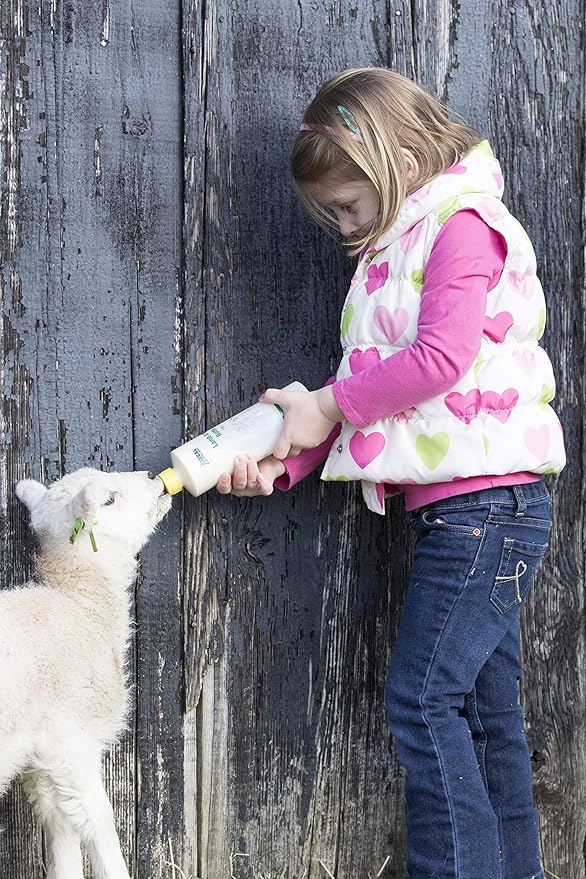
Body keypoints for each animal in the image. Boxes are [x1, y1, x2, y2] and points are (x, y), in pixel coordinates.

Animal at [0, 467, 172, 879]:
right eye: (109, 499)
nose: (152, 475)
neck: (81, 604)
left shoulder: (42, 760)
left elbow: (60, 828)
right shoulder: (70, 741)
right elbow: (99, 820)